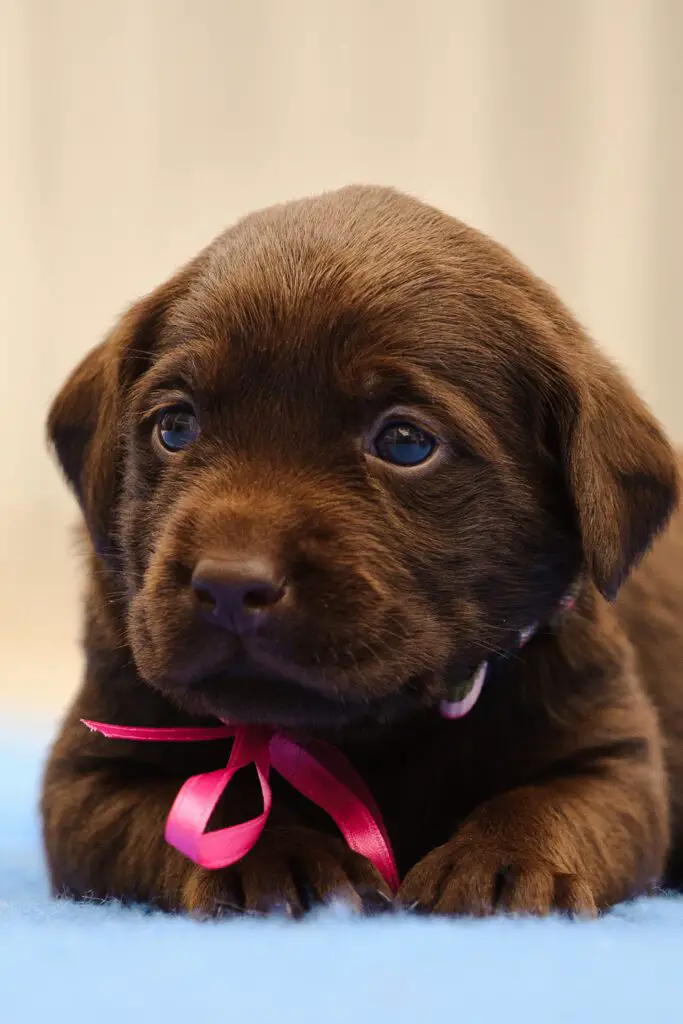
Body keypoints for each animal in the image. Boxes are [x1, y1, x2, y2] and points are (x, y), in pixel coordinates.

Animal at [41, 188, 683, 917]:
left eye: (405, 442)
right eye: (174, 427)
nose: (231, 585)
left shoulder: (613, 753)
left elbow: (549, 803)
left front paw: (502, 864)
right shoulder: (89, 772)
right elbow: (191, 814)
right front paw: (278, 858)